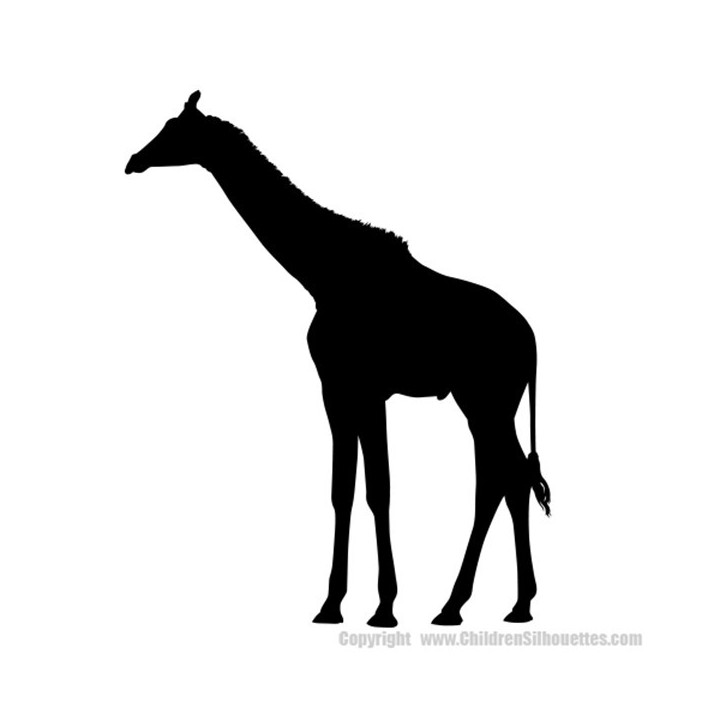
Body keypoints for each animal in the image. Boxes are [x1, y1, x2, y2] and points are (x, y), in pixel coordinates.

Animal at [126, 91, 551, 627]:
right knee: (505, 481)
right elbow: (342, 490)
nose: (133, 160)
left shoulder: (363, 388)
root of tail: (531, 340)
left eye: (174, 129)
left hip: (486, 400)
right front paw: (333, 604)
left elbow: (377, 490)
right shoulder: (339, 389)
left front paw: (384, 607)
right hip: (483, 403)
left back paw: (488, 604)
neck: (323, 274)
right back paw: (486, 604)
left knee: (506, 480)